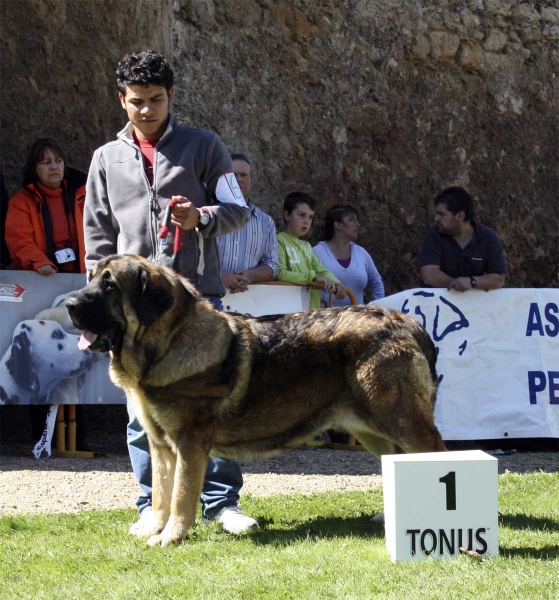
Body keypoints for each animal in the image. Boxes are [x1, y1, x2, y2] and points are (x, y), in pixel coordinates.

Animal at [68, 255, 446, 548]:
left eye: (110, 286)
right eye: (90, 279)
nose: (70, 305)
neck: (167, 343)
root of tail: (408, 323)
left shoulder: (189, 443)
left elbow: (180, 497)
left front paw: (170, 537)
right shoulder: (161, 445)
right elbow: (162, 494)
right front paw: (153, 528)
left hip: (402, 422)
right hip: (376, 431)